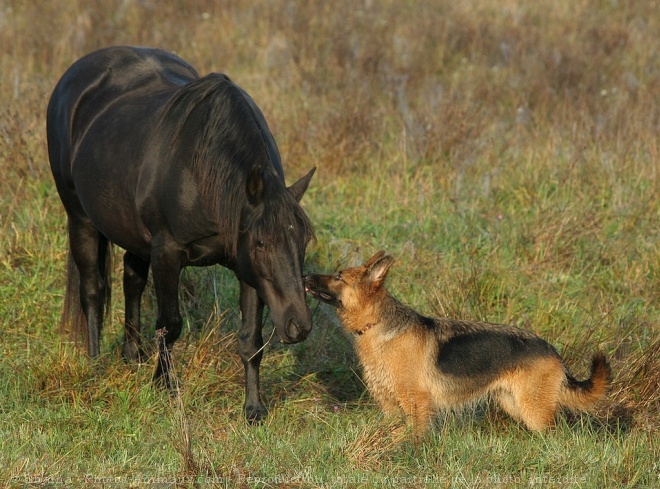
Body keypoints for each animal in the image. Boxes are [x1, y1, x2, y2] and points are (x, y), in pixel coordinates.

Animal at [46, 45, 314, 420]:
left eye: (303, 242)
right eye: (262, 242)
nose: (298, 325)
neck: (202, 173)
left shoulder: (247, 268)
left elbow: (251, 339)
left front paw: (254, 408)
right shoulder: (169, 252)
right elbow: (170, 324)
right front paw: (165, 386)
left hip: (132, 232)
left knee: (132, 279)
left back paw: (132, 353)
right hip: (80, 217)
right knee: (92, 290)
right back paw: (96, 363)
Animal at [302, 252, 612, 434]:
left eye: (339, 276)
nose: (304, 275)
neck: (377, 325)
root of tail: (554, 352)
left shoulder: (416, 404)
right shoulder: (390, 406)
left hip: (533, 411)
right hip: (515, 404)